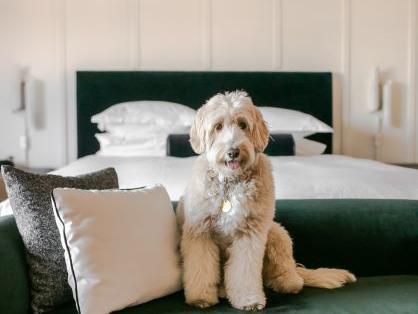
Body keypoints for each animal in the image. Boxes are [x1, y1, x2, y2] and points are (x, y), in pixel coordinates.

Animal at [176, 91, 356, 312]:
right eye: (218, 126)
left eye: (243, 124)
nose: (233, 151)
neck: (230, 183)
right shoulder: (200, 232)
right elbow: (200, 269)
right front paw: (200, 298)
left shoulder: (250, 233)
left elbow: (244, 272)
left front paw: (248, 300)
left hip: (277, 234)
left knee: (289, 273)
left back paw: (287, 282)